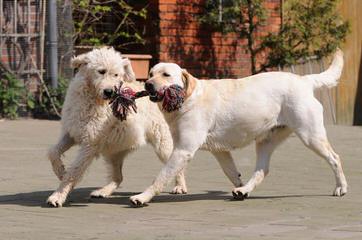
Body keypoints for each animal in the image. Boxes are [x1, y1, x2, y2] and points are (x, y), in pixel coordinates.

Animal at [47, 47, 188, 207]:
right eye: (101, 71)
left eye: (116, 75)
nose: (110, 92)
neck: (92, 99)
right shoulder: (71, 133)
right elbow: (52, 152)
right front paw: (60, 171)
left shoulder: (89, 144)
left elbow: (74, 171)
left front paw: (58, 196)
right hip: (113, 151)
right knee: (118, 177)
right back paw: (103, 191)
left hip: (162, 144)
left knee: (178, 166)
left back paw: (180, 186)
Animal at [130, 49, 348, 206]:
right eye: (150, 73)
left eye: (166, 75)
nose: (148, 84)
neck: (188, 98)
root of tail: (304, 80)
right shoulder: (219, 151)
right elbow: (231, 172)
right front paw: (240, 186)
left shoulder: (183, 150)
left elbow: (161, 176)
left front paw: (142, 197)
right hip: (266, 141)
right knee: (262, 170)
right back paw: (244, 191)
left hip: (310, 135)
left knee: (335, 158)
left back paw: (341, 188)